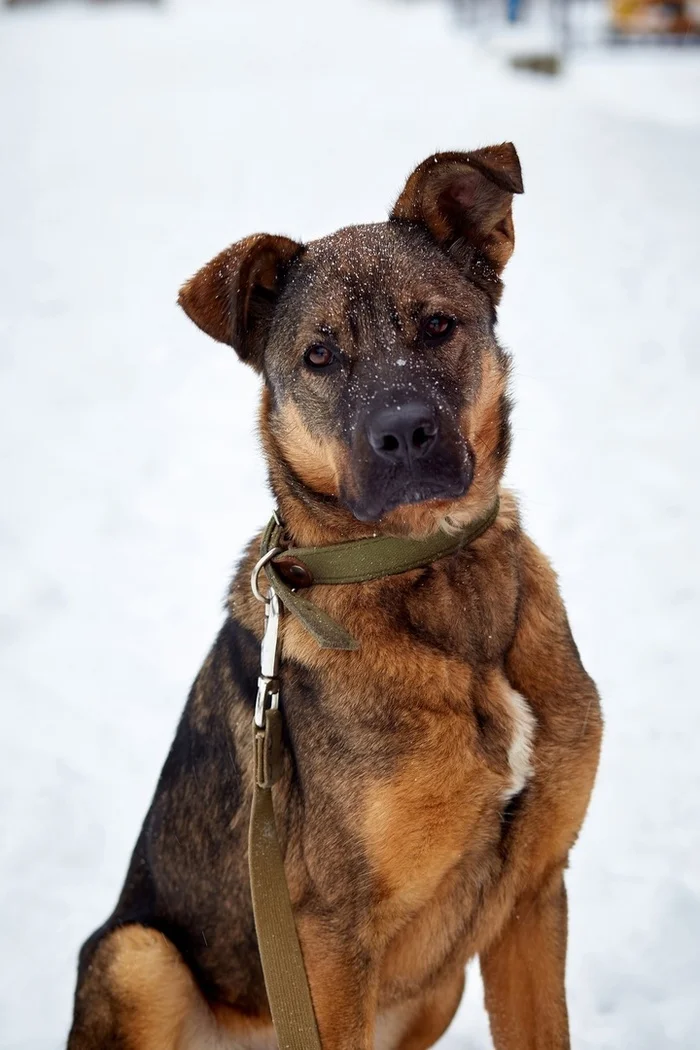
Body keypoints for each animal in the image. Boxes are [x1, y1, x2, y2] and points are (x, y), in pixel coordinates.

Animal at [67, 145, 604, 1050]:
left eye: (438, 326)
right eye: (319, 356)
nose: (405, 435)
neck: (431, 572)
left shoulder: (535, 891)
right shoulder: (331, 937)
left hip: (438, 988)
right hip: (138, 954)